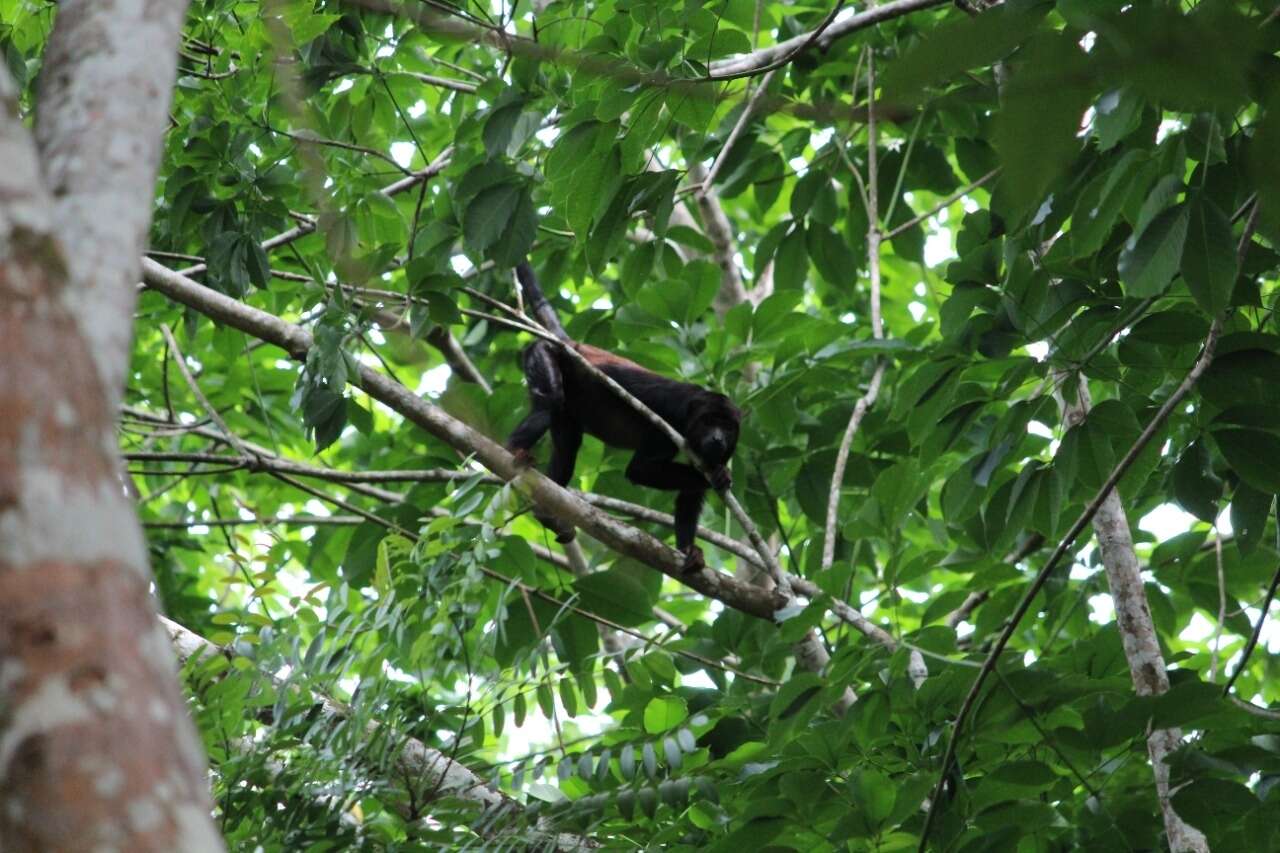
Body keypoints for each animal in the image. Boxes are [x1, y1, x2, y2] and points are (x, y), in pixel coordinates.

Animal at [501, 258, 742, 571]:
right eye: (709, 422)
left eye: (727, 428)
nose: (717, 438)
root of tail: (571, 345)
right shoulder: (668, 420)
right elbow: (640, 470)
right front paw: (718, 477)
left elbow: (690, 496)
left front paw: (689, 550)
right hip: (542, 352)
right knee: (549, 403)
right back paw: (514, 449)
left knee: (567, 447)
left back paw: (547, 513)